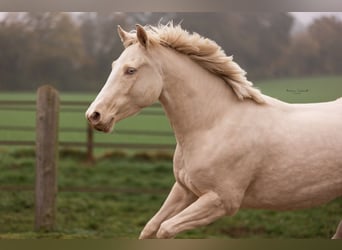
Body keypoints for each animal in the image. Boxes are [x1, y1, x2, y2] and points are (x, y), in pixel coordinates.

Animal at [85, 23, 342, 240]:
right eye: (113, 66)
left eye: (131, 70)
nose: (94, 115)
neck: (213, 125)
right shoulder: (184, 190)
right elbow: (150, 228)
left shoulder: (221, 201)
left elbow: (165, 229)